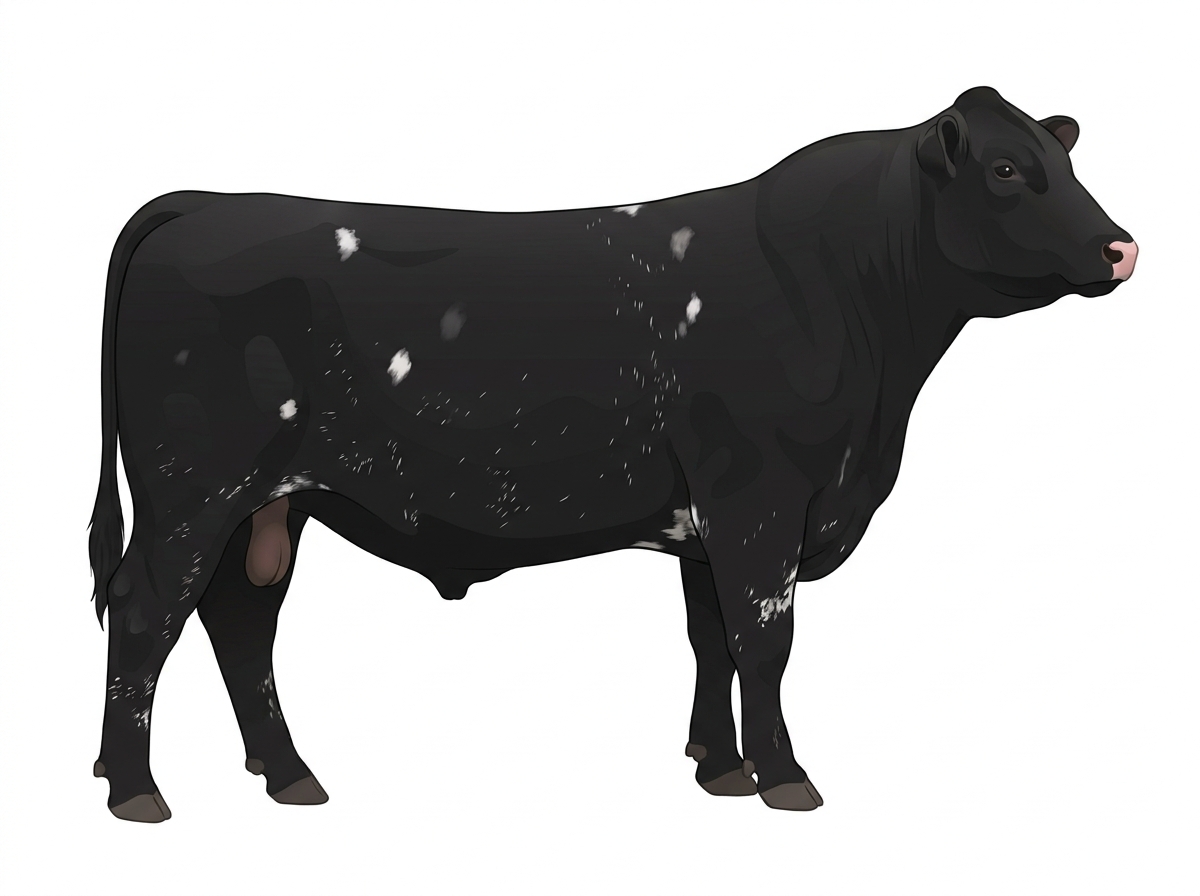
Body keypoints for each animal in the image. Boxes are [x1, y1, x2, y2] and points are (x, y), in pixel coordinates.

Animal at [89, 86, 1137, 822]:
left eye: (1062, 157)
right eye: (1005, 171)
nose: (1122, 248)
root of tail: (205, 201)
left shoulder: (710, 518)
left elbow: (712, 639)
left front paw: (721, 768)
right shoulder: (761, 500)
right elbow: (766, 641)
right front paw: (785, 777)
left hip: (269, 501)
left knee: (239, 621)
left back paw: (288, 774)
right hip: (194, 490)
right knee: (147, 613)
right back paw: (136, 791)